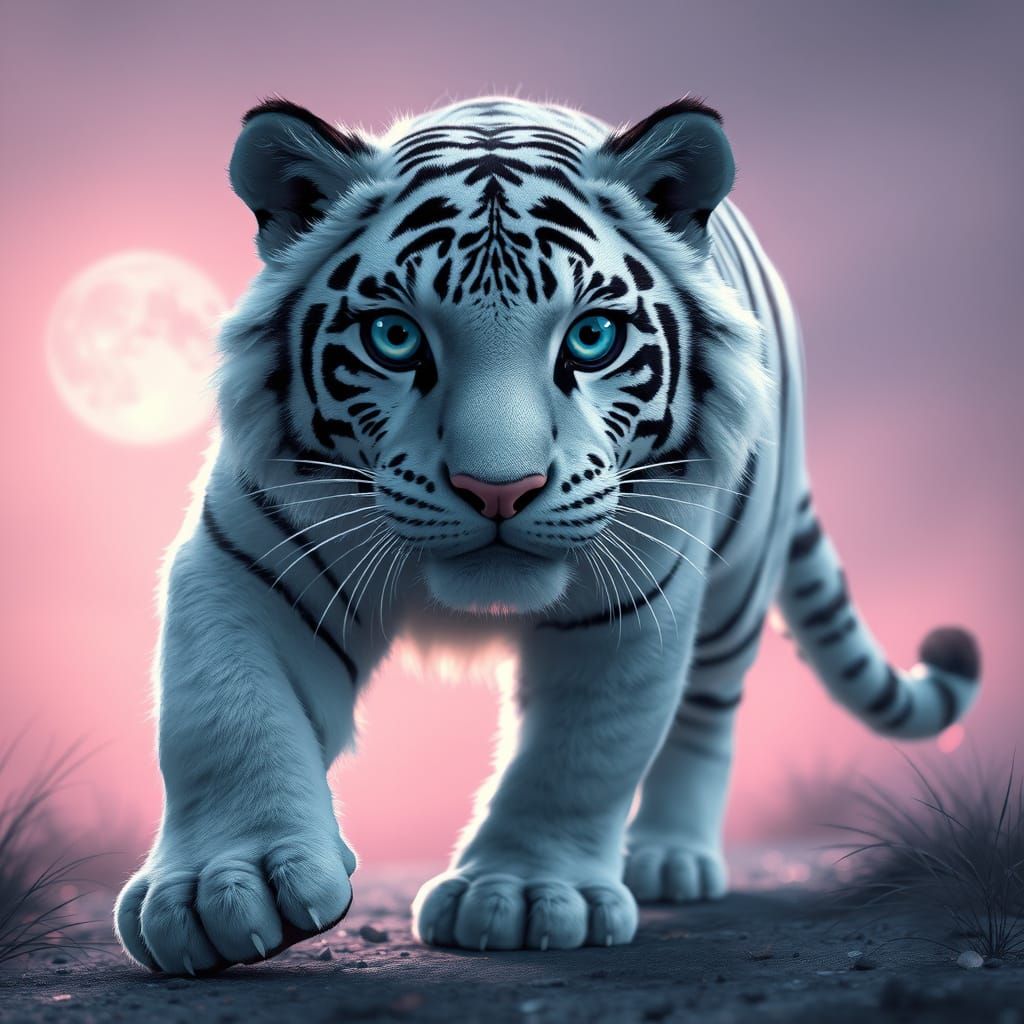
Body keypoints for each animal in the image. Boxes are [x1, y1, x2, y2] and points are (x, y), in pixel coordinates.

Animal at [114, 94, 981, 973]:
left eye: (591, 338)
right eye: (395, 337)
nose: (499, 489)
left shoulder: (633, 595)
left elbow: (581, 752)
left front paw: (521, 896)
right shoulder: (253, 567)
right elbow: (222, 711)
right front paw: (227, 885)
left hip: (739, 578)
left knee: (706, 712)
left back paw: (668, 857)